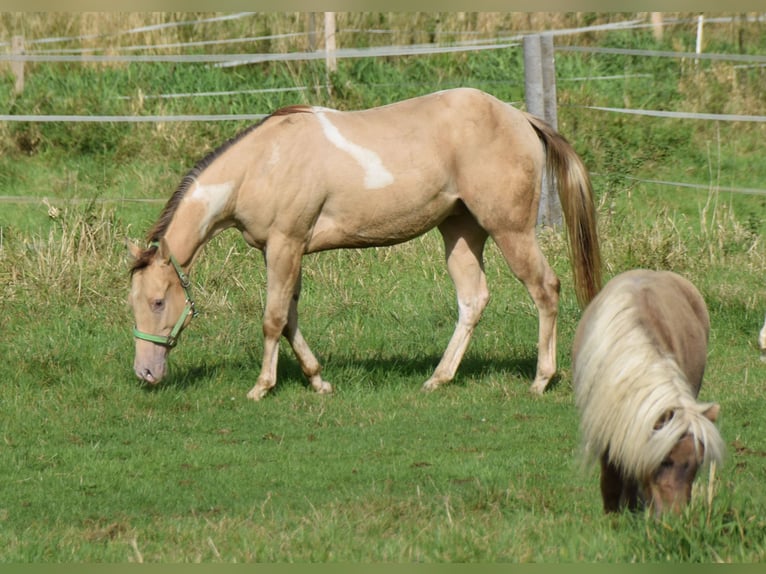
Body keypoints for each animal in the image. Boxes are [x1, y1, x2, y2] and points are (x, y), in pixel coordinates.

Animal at [129, 88, 604, 402]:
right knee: (473, 300)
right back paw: (439, 378)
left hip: (510, 230)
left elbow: (273, 319)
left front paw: (262, 387)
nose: (145, 373)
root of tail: (521, 118)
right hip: (460, 231)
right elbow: (290, 318)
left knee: (545, 289)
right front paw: (318, 380)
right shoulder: (282, 251)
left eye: (158, 301)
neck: (264, 162)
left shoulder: (285, 245)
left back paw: (541, 379)